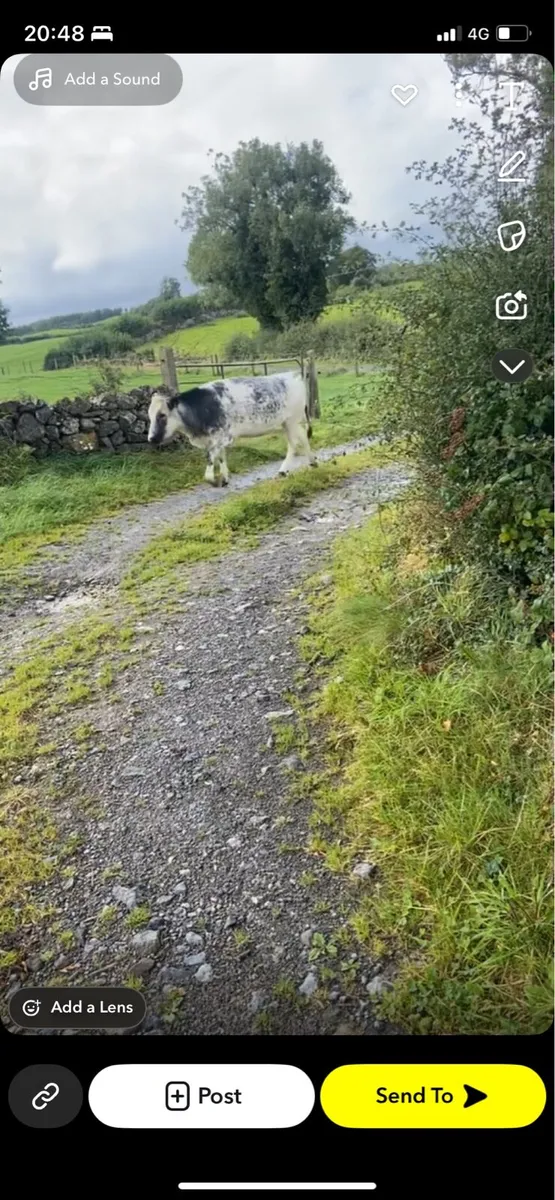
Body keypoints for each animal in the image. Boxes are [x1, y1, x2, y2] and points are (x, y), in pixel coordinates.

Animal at [147, 369, 317, 486]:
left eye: (162, 415)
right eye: (149, 415)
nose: (151, 438)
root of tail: (293, 374)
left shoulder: (220, 437)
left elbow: (210, 462)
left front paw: (215, 481)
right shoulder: (216, 438)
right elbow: (221, 457)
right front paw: (225, 478)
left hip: (291, 420)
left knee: (294, 444)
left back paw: (283, 470)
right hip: (289, 422)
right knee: (303, 437)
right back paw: (312, 462)